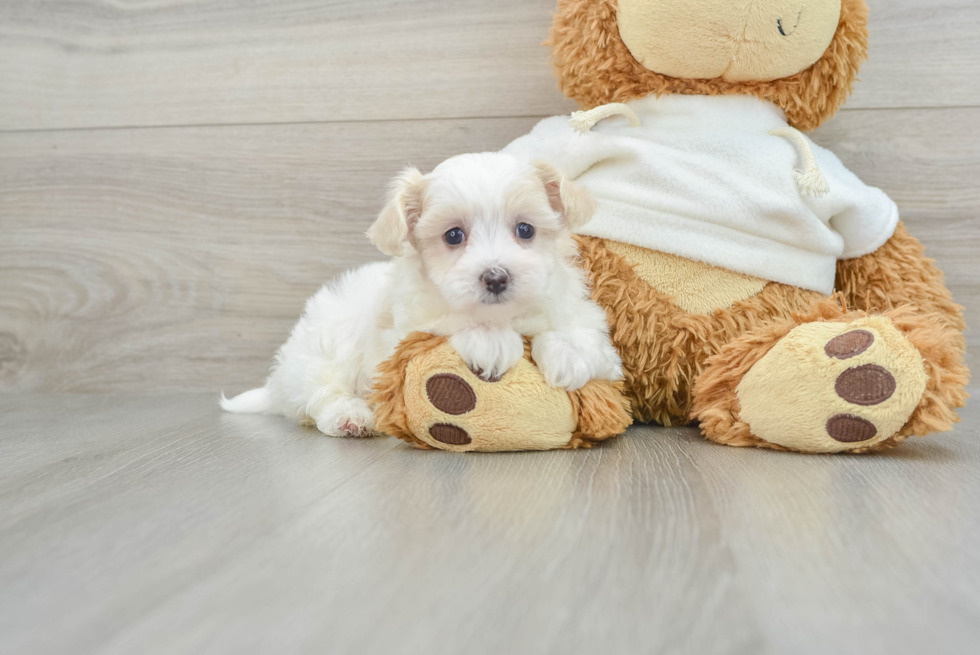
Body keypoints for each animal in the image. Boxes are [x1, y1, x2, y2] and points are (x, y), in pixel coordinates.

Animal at [221, 150, 620, 436]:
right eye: (454, 236)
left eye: (525, 229)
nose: (495, 277)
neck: (504, 314)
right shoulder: (403, 333)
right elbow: (450, 321)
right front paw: (490, 340)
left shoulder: (587, 322)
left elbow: (581, 335)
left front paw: (567, 354)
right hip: (325, 346)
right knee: (318, 394)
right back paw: (350, 416)